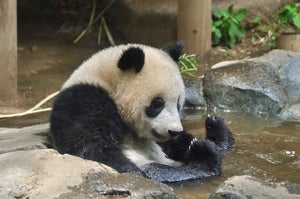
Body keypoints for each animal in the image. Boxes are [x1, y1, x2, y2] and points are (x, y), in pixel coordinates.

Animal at [49, 42, 234, 183]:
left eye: (178, 103)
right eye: (157, 104)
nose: (174, 131)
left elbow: (178, 143)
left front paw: (198, 135)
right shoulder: (83, 102)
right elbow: (93, 148)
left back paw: (214, 129)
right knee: (157, 170)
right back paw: (203, 157)